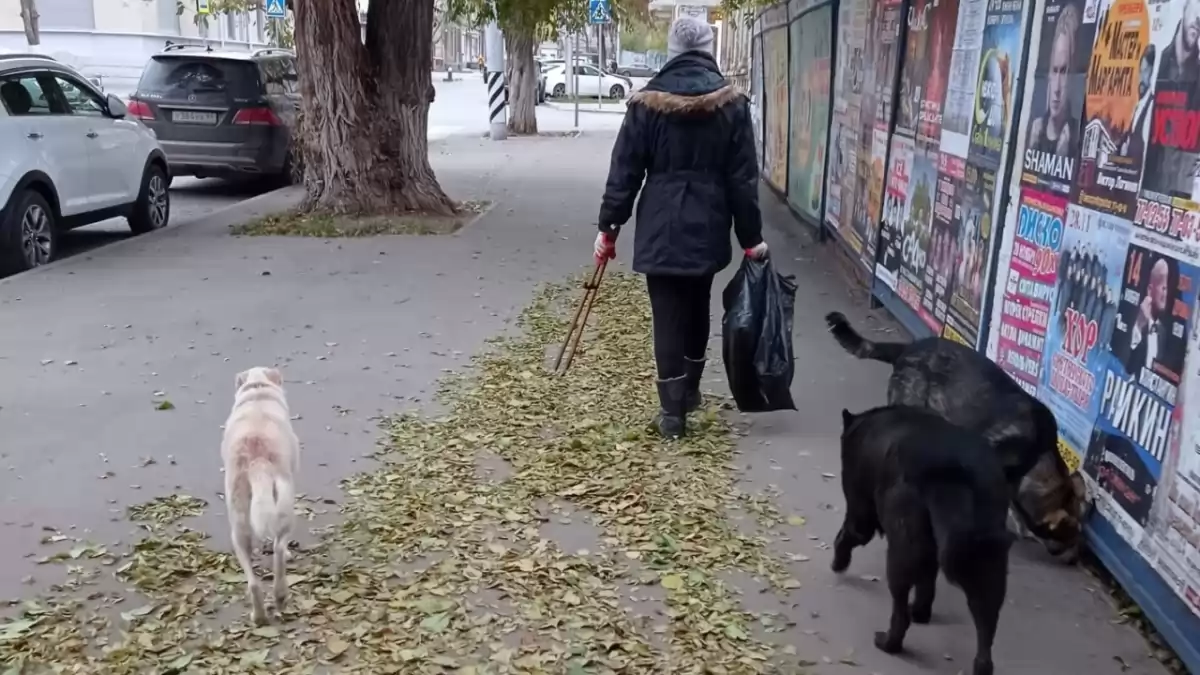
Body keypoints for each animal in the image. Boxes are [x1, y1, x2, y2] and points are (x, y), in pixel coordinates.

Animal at [224, 365, 300, 624]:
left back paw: (258, 616)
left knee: (253, 582)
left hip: (238, 526)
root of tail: (256, 460)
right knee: (278, 549)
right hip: (286, 506)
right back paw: (280, 595)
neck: (257, 390)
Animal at [835, 403, 1012, 672]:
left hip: (903, 548)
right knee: (986, 619)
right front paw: (921, 611)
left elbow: (848, 534)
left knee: (900, 611)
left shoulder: (860, 511)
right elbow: (927, 582)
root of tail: (951, 469)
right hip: (985, 560)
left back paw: (889, 642)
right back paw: (982, 665)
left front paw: (838, 561)